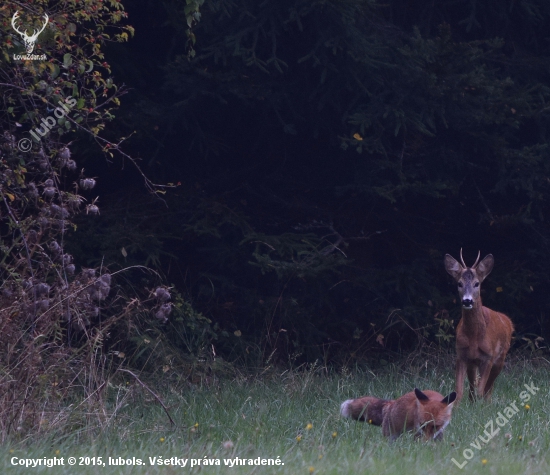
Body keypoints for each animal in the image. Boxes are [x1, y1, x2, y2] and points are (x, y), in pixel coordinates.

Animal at [446, 251, 516, 404]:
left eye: (477, 284)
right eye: (459, 283)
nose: (467, 301)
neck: (474, 336)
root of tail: (507, 320)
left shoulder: (488, 357)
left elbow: (481, 390)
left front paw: (480, 406)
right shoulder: (462, 355)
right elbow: (459, 391)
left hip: (501, 358)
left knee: (489, 387)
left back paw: (486, 403)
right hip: (473, 364)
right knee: (474, 387)